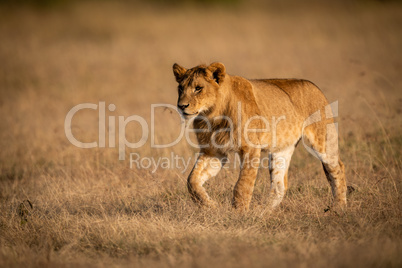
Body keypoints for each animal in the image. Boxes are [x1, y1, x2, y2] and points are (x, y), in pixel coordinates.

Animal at [172, 61, 346, 210]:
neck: (213, 115)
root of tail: (314, 86)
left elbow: (243, 185)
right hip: (281, 150)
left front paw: (239, 215)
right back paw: (263, 214)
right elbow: (192, 180)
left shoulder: (250, 148)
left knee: (338, 168)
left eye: (198, 88)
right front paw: (210, 205)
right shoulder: (214, 152)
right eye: (180, 88)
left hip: (323, 141)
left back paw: (339, 208)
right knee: (279, 186)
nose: (181, 106)